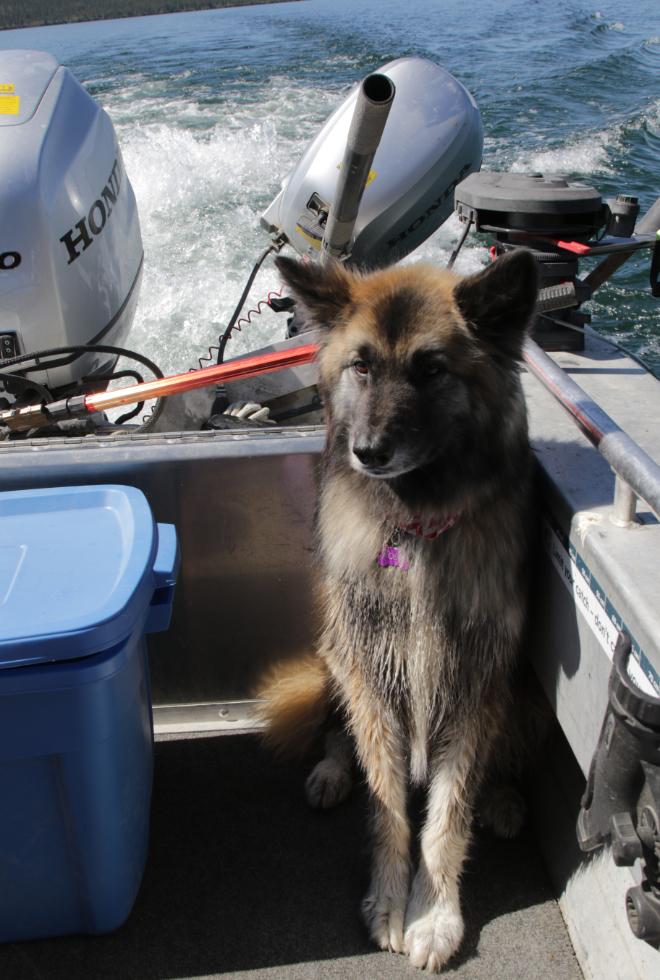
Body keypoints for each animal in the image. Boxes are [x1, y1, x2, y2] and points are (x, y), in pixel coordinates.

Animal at [255, 247, 540, 972]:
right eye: (361, 366)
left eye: (431, 369)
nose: (369, 452)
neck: (417, 528)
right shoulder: (371, 665)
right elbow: (388, 804)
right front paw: (390, 899)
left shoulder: (474, 677)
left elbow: (448, 811)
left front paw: (434, 914)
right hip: (335, 652)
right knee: (335, 729)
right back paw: (332, 769)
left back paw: (505, 798)